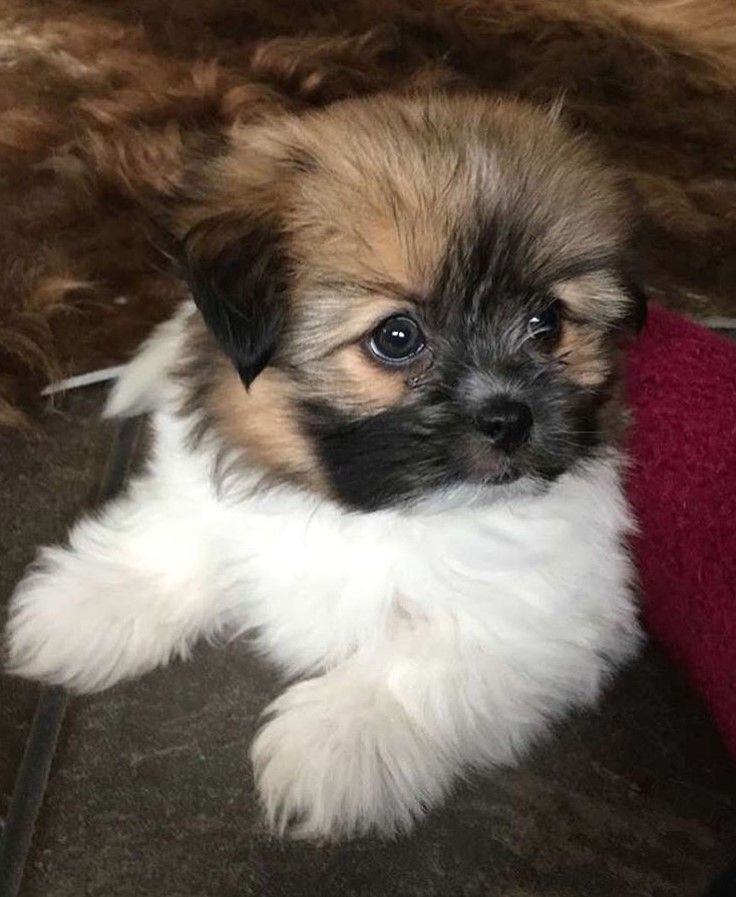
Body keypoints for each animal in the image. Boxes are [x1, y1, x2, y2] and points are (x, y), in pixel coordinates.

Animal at [8, 93, 648, 840]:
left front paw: (341, 735)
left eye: (549, 322)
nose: (510, 417)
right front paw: (88, 602)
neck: (365, 508)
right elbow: (172, 537)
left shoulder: (552, 610)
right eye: (396, 337)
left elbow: (430, 661)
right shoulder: (203, 494)